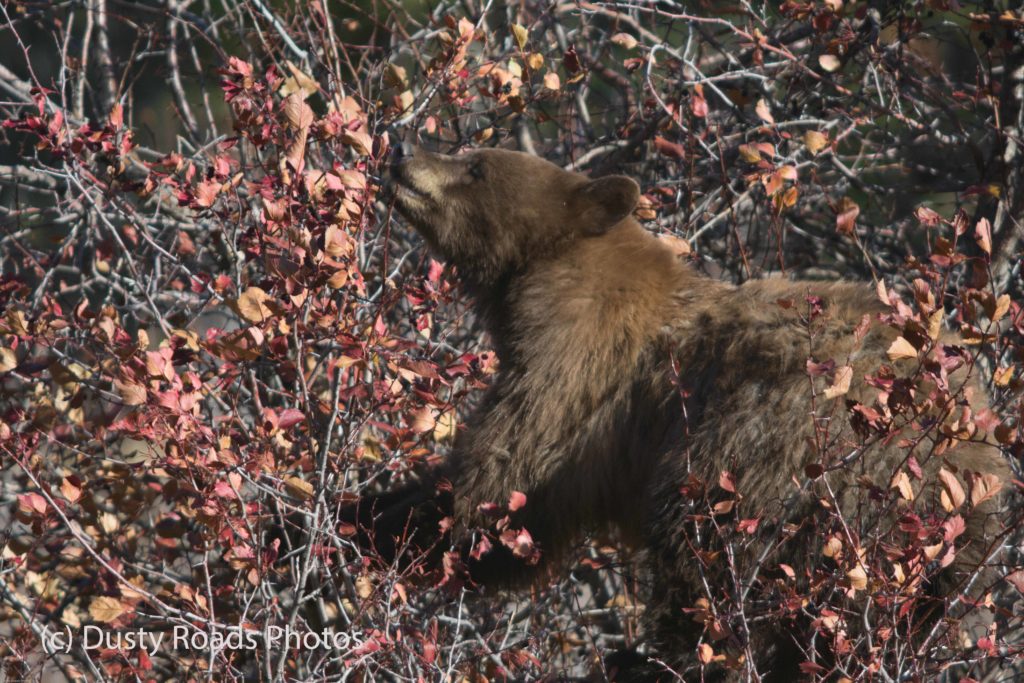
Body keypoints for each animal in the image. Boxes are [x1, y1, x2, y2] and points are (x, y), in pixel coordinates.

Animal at [366, 143, 1007, 679]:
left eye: (476, 165)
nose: (401, 156)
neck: (544, 271)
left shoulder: (576, 363)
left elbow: (507, 487)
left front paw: (379, 519)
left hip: (762, 456)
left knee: (701, 561)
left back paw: (651, 660)